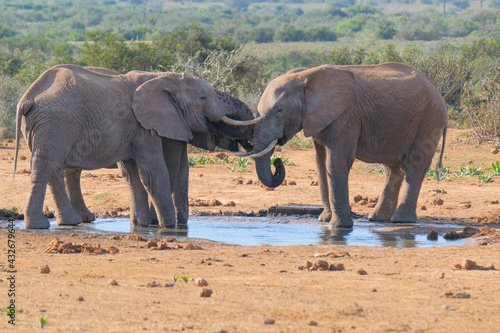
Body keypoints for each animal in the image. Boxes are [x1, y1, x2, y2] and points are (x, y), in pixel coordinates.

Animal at [14, 64, 258, 228]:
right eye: (203, 98)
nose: (245, 144)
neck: (161, 78)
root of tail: (28, 98)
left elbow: (137, 175)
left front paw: (143, 225)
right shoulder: (144, 126)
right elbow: (154, 173)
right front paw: (168, 227)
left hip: (50, 127)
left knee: (54, 167)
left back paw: (71, 222)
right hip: (56, 124)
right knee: (47, 166)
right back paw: (41, 225)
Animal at [246, 63, 450, 227]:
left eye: (280, 111)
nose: (277, 161)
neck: (305, 77)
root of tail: (439, 94)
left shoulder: (346, 116)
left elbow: (336, 162)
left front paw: (339, 226)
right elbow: (321, 164)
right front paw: (325, 220)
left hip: (429, 120)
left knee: (415, 164)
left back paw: (401, 220)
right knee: (392, 168)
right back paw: (377, 218)